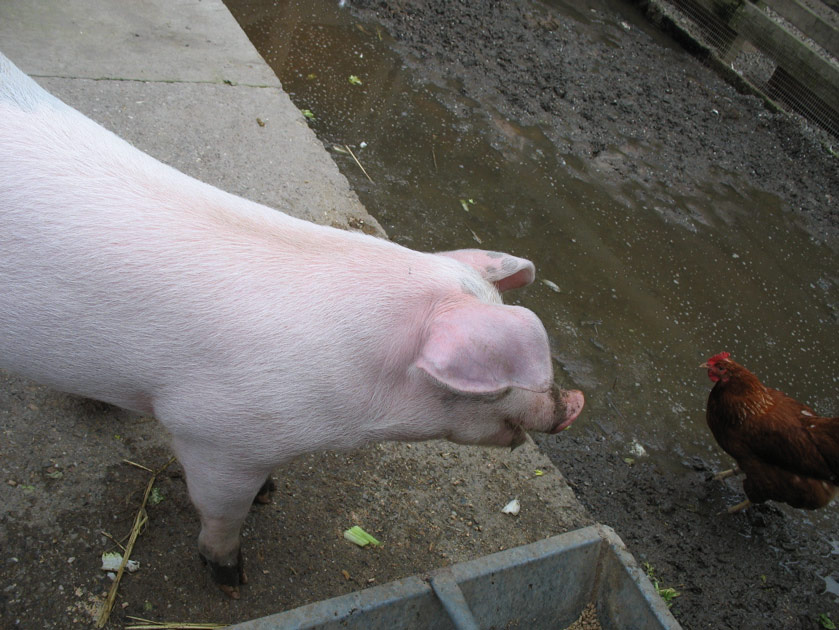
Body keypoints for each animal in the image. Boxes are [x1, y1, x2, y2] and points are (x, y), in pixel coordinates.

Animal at [0, 53, 584, 596]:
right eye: (498, 383)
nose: (574, 402)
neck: (352, 390)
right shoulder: (212, 434)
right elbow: (221, 512)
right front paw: (232, 578)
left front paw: (270, 493)